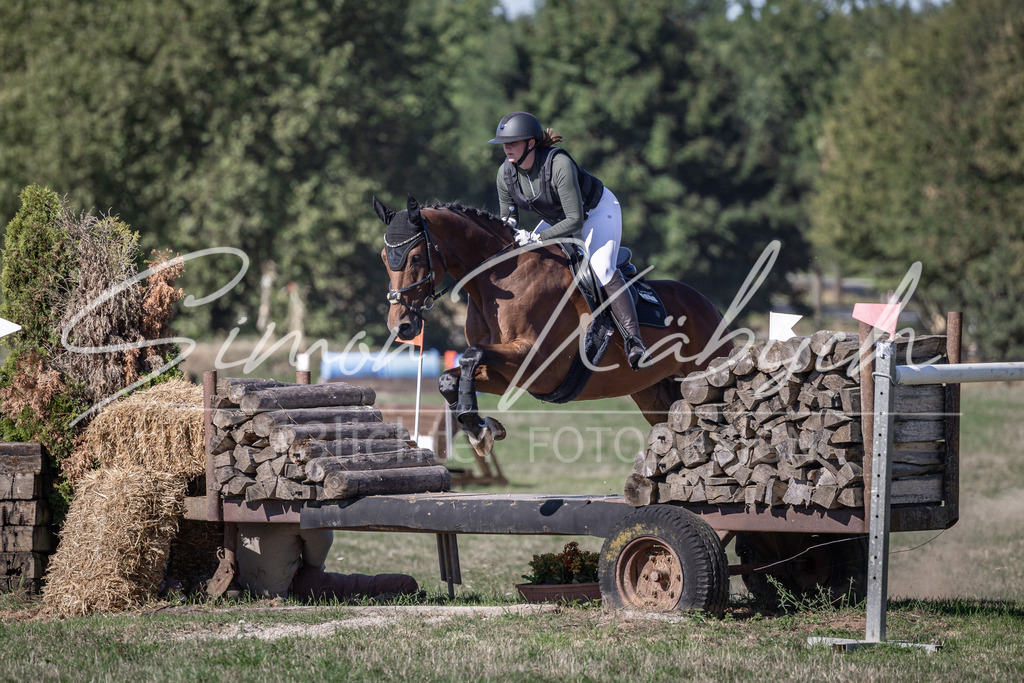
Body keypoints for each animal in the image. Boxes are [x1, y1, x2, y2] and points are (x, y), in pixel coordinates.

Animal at [375, 194, 731, 451]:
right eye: (383, 258)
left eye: (416, 257)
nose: (401, 326)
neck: (497, 281)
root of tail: (709, 306)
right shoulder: (508, 374)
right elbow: (450, 377)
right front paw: (482, 428)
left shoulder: (541, 364)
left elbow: (471, 355)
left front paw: (481, 430)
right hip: (654, 393)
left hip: (705, 373)